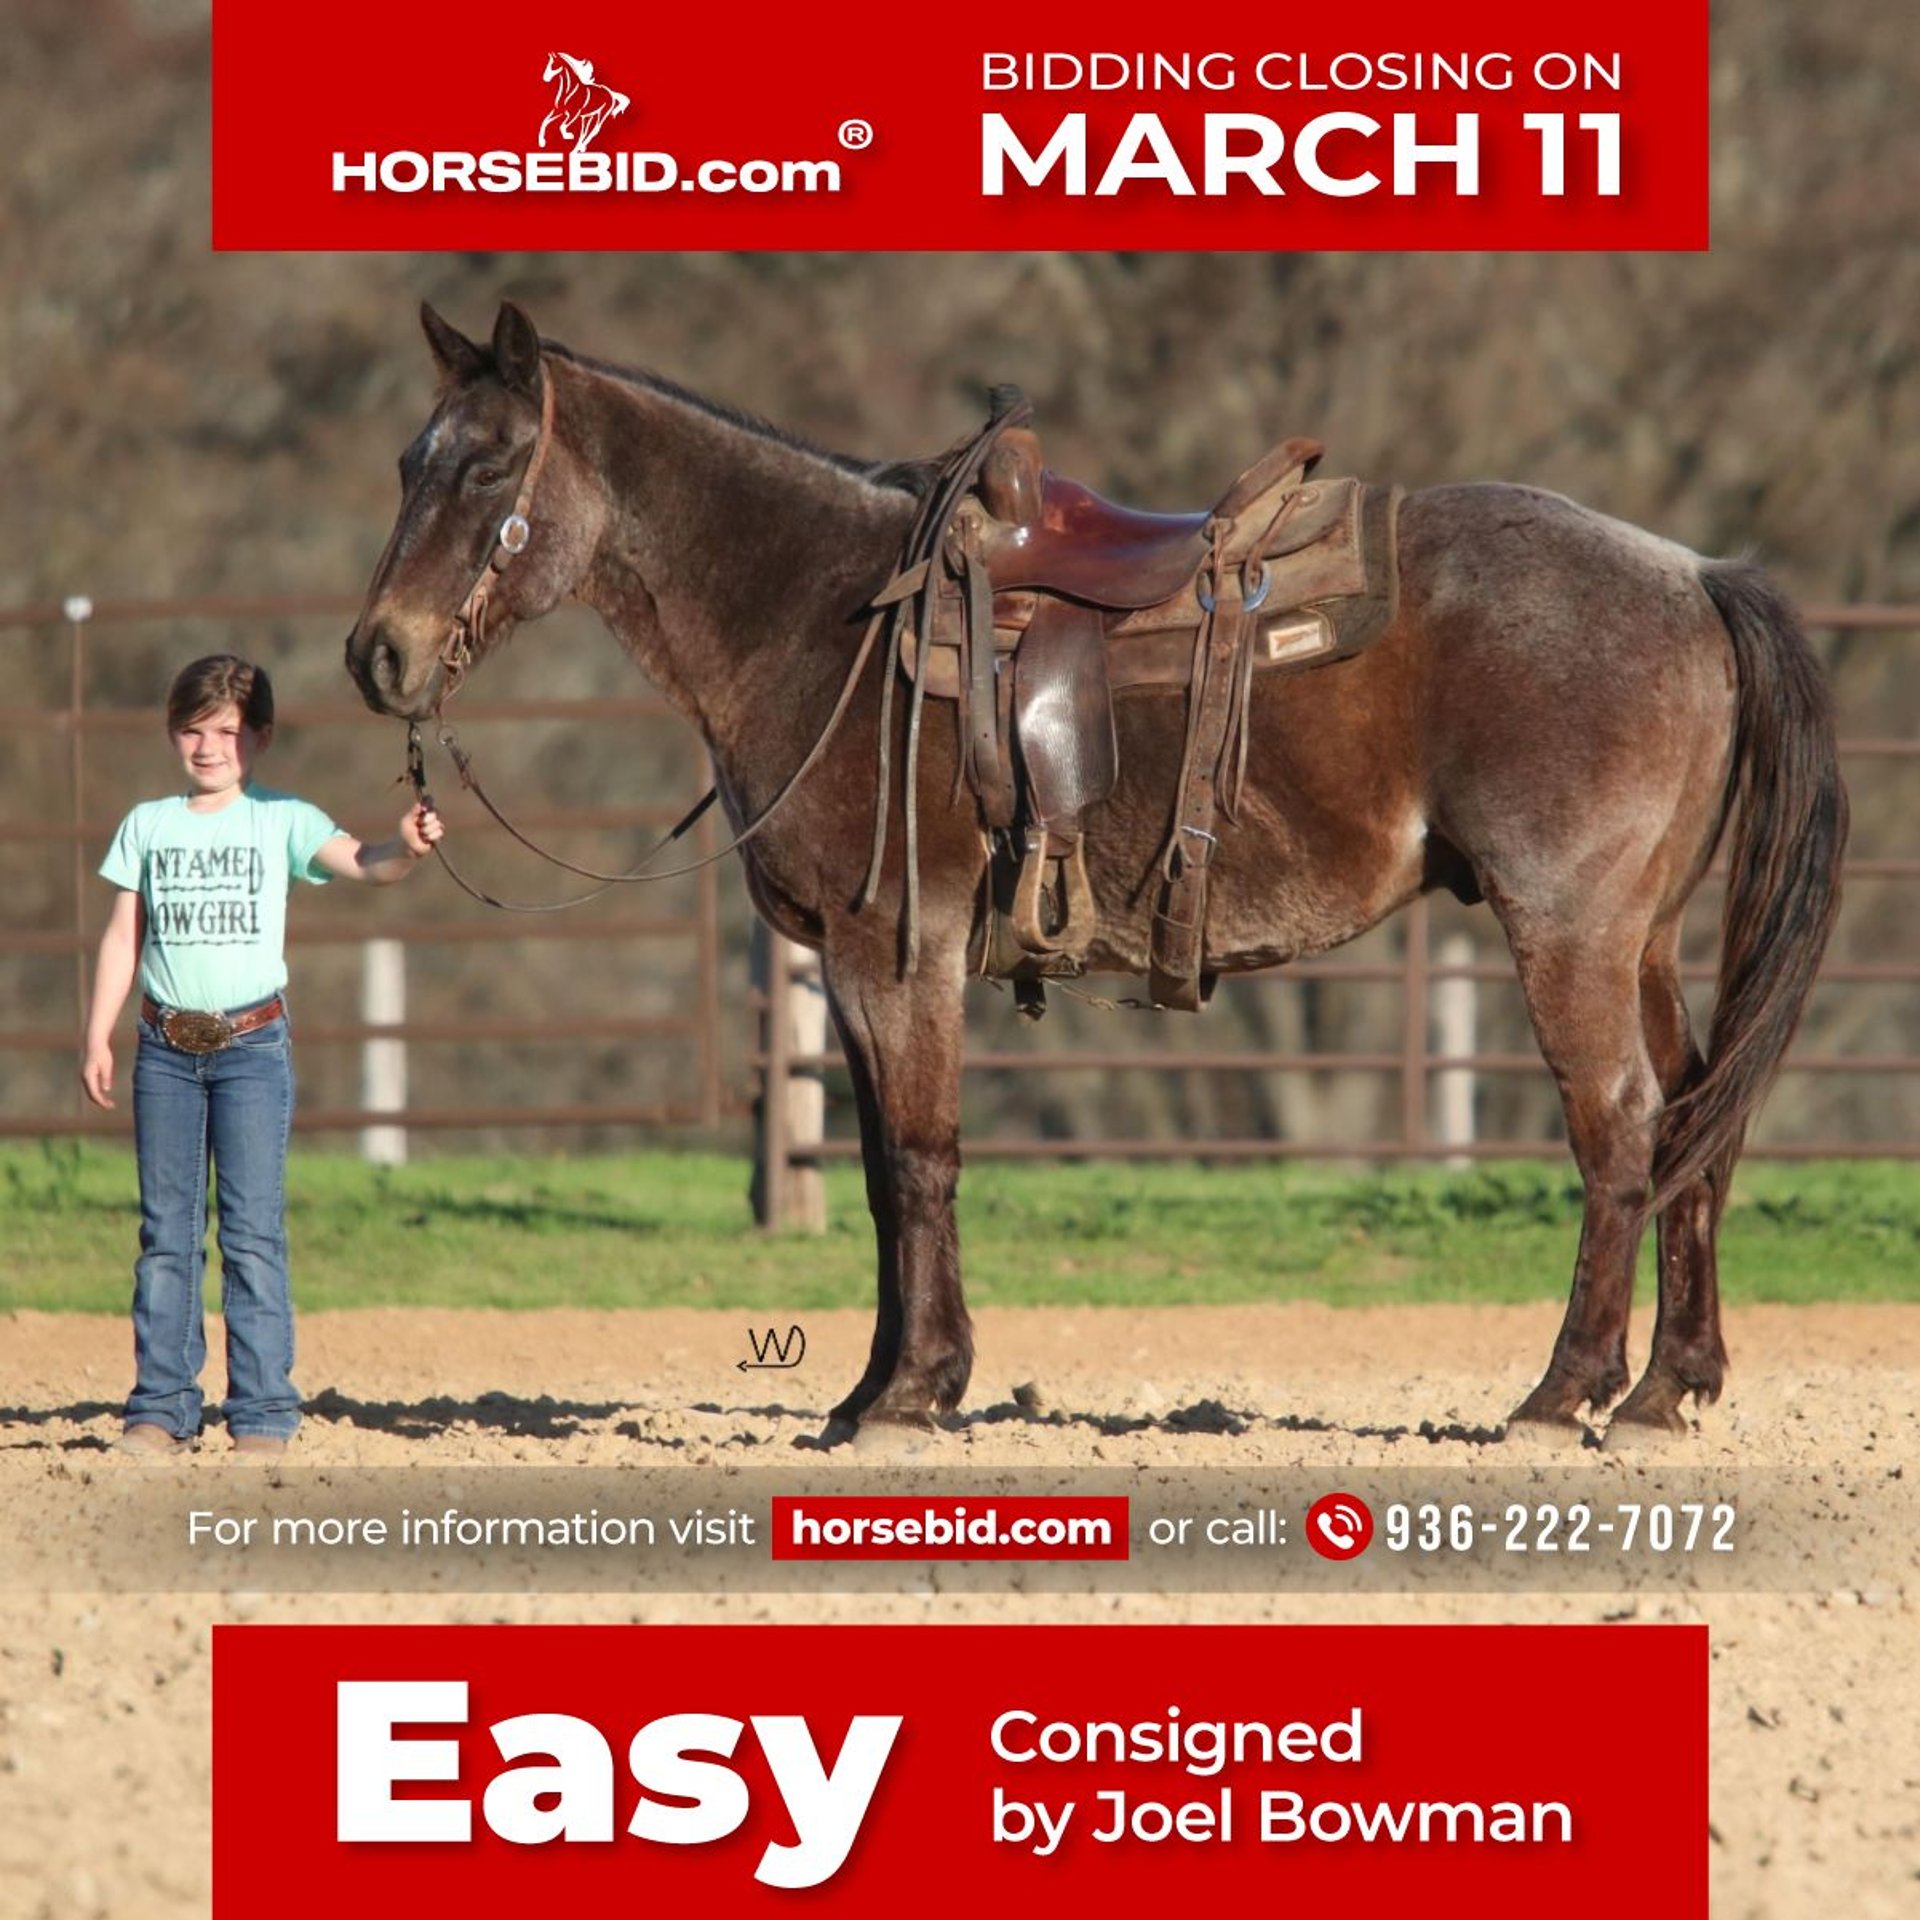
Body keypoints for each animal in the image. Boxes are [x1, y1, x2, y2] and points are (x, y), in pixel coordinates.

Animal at [345, 302, 1848, 1446]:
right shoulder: (855, 963)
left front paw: (915, 1395)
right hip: (1640, 939)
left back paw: (1563, 1394)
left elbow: (922, 1157)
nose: (378, 655)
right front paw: (872, 1391)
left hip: (1570, 933)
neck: (823, 621)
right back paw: (1665, 1391)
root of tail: (1694, 574)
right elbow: (884, 1172)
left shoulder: (896, 947)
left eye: (487, 469)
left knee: (1622, 1127)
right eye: (407, 460)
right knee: (1696, 1121)